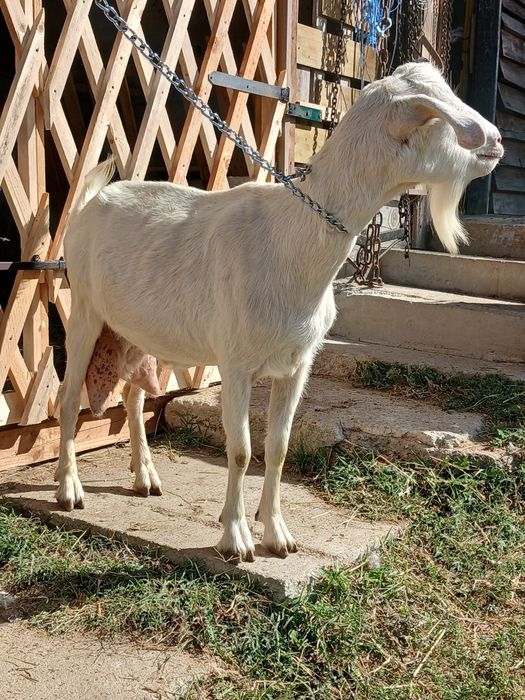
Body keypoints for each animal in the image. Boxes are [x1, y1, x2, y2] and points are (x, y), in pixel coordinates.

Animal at [57, 62, 503, 561]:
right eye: (436, 116)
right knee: (68, 397)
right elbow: (240, 451)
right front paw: (235, 538)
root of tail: (91, 202)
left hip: (142, 331)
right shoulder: (235, 364)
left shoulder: (297, 364)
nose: (497, 140)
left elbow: (279, 447)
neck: (292, 240)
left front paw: (277, 533)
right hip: (84, 311)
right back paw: (69, 489)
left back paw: (145, 477)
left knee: (134, 396)